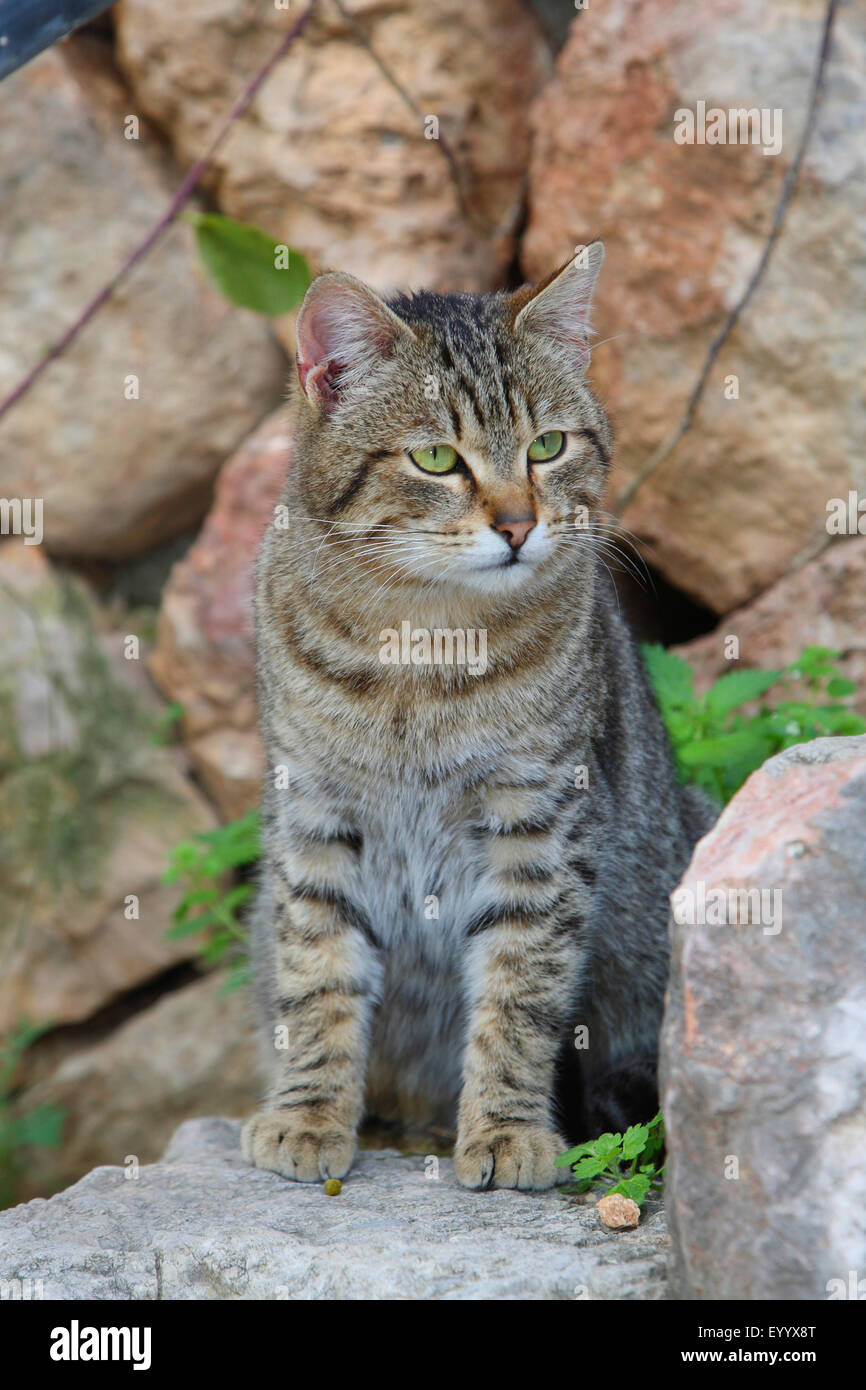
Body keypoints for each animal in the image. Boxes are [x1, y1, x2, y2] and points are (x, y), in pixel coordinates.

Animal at [240, 244, 717, 1189]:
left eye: (548, 446)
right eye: (435, 458)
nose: (518, 525)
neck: (421, 652)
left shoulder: (540, 821)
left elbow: (519, 991)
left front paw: (505, 1129)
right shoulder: (312, 814)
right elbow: (317, 977)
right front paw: (308, 1112)